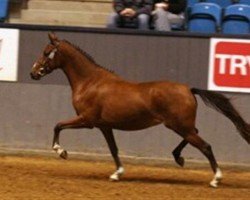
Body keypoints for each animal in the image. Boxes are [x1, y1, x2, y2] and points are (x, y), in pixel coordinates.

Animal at [30, 32, 249, 188]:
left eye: (46, 52)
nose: (33, 73)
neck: (90, 82)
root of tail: (188, 89)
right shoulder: (104, 126)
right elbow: (113, 149)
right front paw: (117, 174)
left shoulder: (86, 120)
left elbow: (58, 125)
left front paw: (61, 152)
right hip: (181, 126)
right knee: (195, 136)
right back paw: (178, 157)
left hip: (179, 126)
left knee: (206, 146)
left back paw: (216, 179)